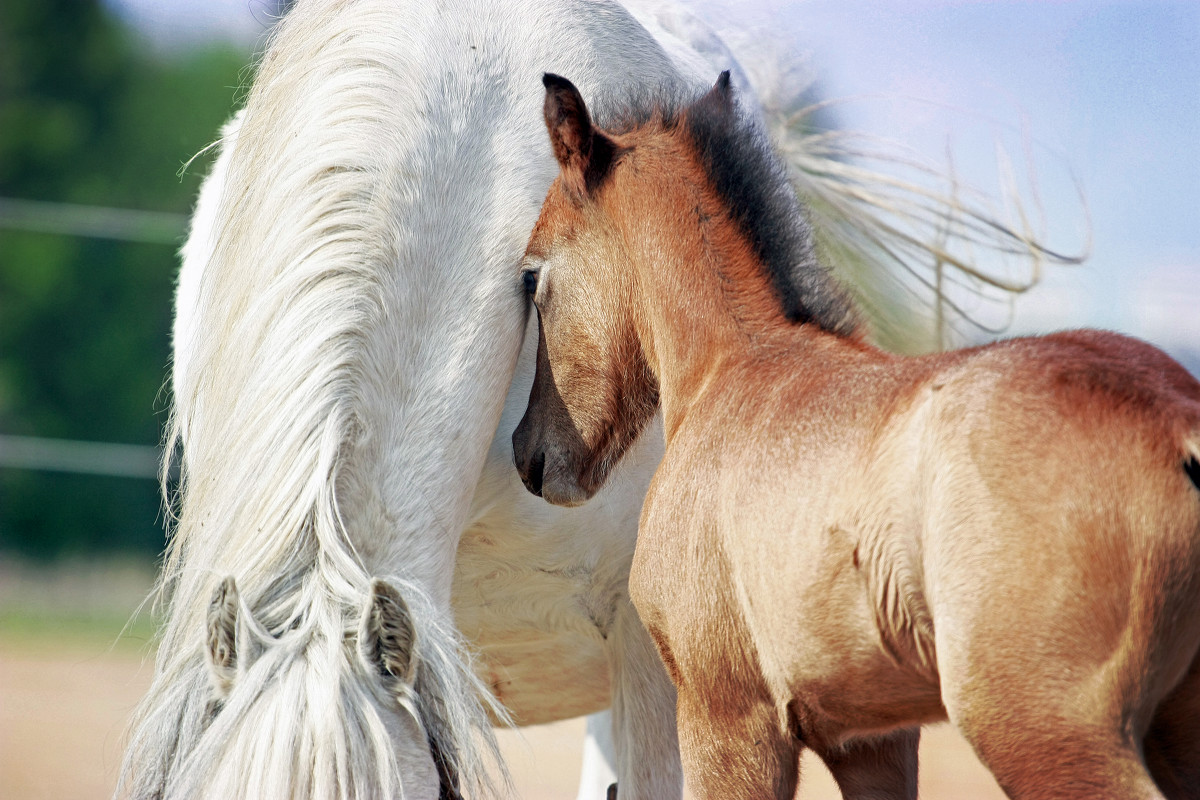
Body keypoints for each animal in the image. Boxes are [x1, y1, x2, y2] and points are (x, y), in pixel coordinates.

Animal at [511, 71, 1200, 796]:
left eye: (531, 274)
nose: (527, 456)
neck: (732, 371)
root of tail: (1179, 421)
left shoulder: (726, 717)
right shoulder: (873, 739)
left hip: (1048, 733)